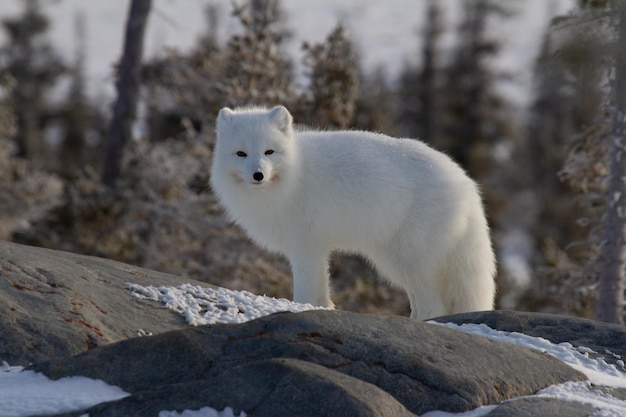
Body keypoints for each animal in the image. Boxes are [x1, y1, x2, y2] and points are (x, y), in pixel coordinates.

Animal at [212, 105, 494, 318]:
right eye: (241, 154)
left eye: (269, 152)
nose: (258, 175)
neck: (295, 174)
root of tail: (465, 182)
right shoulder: (316, 248)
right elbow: (321, 289)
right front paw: (321, 308)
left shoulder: (305, 246)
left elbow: (305, 289)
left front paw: (300, 309)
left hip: (406, 258)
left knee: (434, 305)